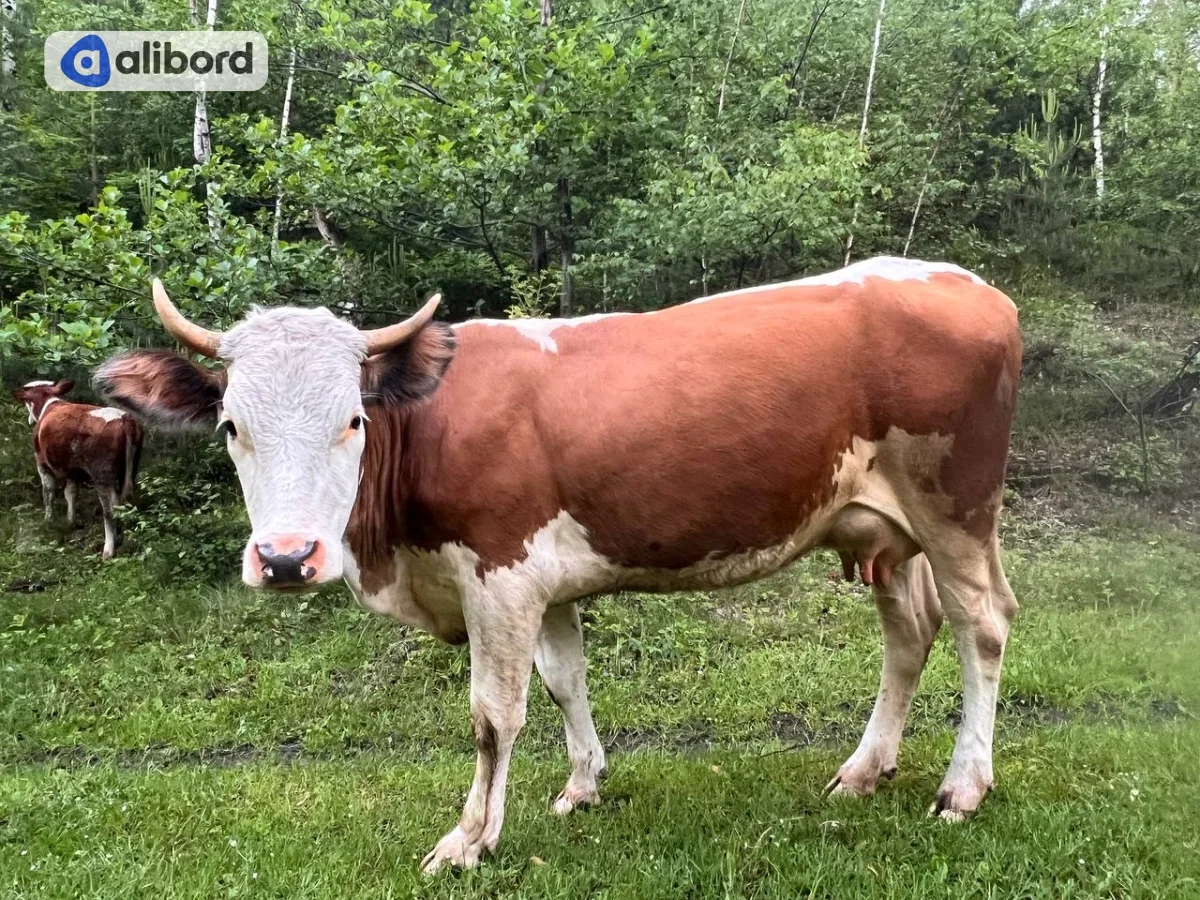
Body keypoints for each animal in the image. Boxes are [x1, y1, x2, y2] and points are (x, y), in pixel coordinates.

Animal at [11, 379, 144, 559]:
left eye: (26, 397)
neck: (49, 404)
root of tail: (125, 419)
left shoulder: (42, 463)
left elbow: (48, 492)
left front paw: (48, 519)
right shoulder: (71, 469)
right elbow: (70, 493)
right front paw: (70, 520)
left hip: (102, 475)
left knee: (110, 510)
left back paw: (108, 550)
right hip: (131, 469)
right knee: (126, 502)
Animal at [94, 256, 1022, 873]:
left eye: (352, 419)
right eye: (230, 426)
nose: (286, 559)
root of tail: (961, 281)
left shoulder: (498, 577)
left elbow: (493, 716)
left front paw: (469, 839)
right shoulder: (542, 583)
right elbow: (564, 681)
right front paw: (584, 785)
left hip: (956, 509)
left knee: (982, 625)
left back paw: (963, 786)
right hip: (883, 528)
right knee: (910, 632)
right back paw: (866, 769)